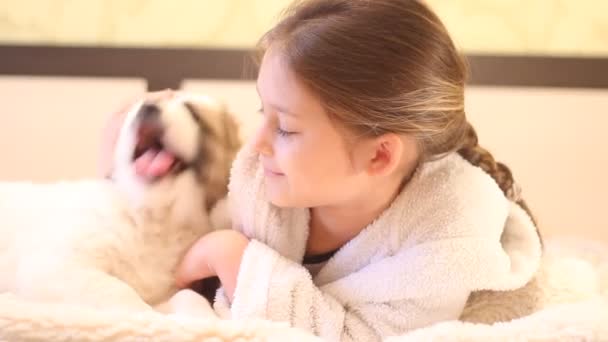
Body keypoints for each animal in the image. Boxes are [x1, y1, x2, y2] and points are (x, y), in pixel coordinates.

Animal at [0, 93, 241, 312]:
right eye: (137, 108)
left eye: (193, 112)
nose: (147, 108)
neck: (153, 220)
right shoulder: (54, 264)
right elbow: (118, 292)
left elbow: (187, 297)